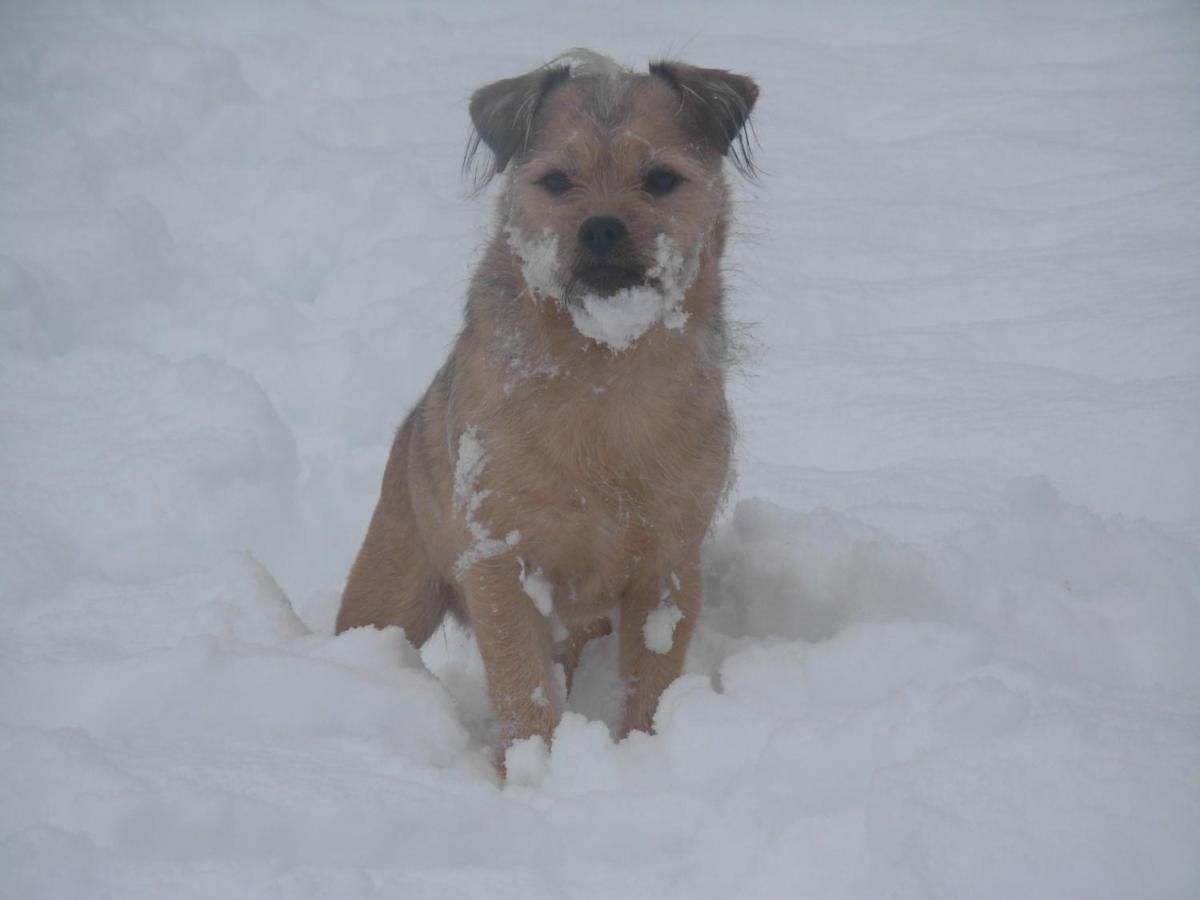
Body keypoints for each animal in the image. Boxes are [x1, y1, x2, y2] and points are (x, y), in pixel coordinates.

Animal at [333, 49, 753, 763]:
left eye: (660, 179)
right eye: (557, 180)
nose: (603, 226)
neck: (603, 370)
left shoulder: (669, 568)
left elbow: (652, 683)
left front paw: (640, 752)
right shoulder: (502, 563)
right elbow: (519, 683)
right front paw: (533, 769)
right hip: (390, 590)